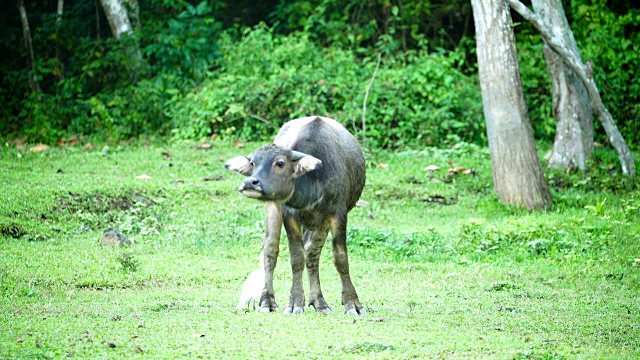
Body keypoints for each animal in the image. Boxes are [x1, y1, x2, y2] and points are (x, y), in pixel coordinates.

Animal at [225, 116, 364, 316]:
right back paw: (267, 301)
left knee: (312, 253)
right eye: (253, 163)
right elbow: (297, 258)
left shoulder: (337, 215)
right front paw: (295, 302)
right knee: (270, 249)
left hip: (319, 224)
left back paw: (319, 302)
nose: (250, 183)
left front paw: (352, 303)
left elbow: (340, 258)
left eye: (280, 163)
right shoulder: (289, 215)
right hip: (273, 207)